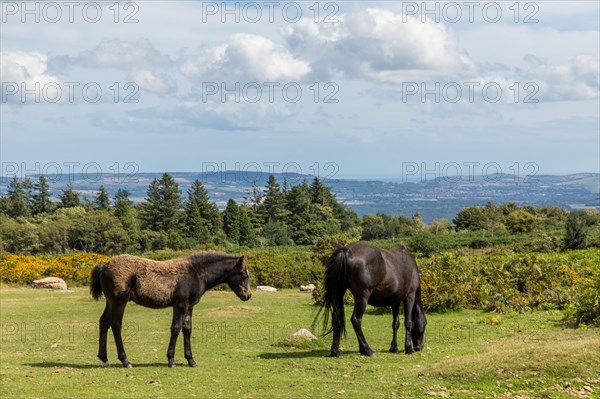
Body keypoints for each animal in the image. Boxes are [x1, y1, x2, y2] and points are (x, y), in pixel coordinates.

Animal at [89, 253, 251, 368]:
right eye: (243, 274)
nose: (248, 295)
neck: (195, 273)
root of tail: (104, 266)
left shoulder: (189, 306)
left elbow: (187, 329)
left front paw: (191, 360)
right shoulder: (180, 304)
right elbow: (176, 328)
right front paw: (171, 360)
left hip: (110, 302)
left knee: (104, 322)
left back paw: (104, 359)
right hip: (119, 302)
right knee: (116, 324)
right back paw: (125, 360)